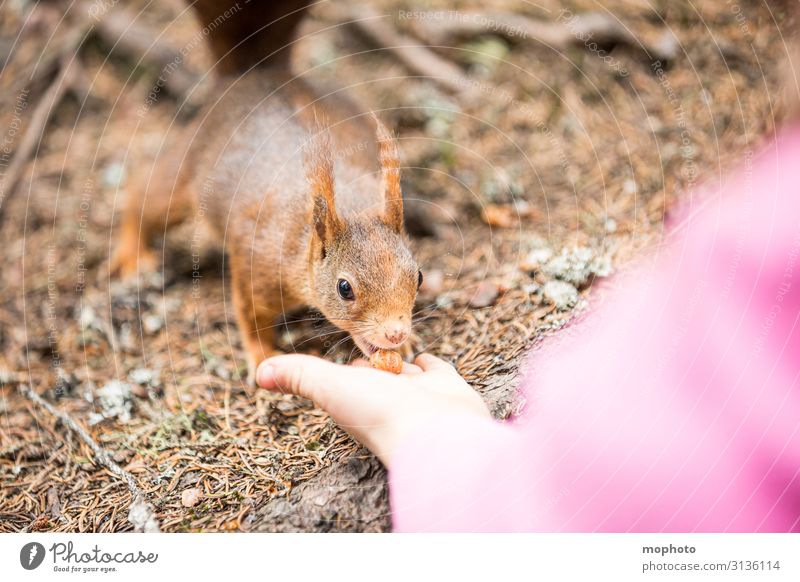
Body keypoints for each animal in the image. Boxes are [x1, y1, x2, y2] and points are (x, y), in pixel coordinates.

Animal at [115, 2, 422, 386]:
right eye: (344, 288)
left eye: (418, 276)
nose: (395, 333)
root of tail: (251, 75)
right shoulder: (257, 265)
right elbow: (251, 316)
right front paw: (262, 355)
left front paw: (410, 343)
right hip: (185, 169)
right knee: (144, 201)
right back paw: (132, 254)